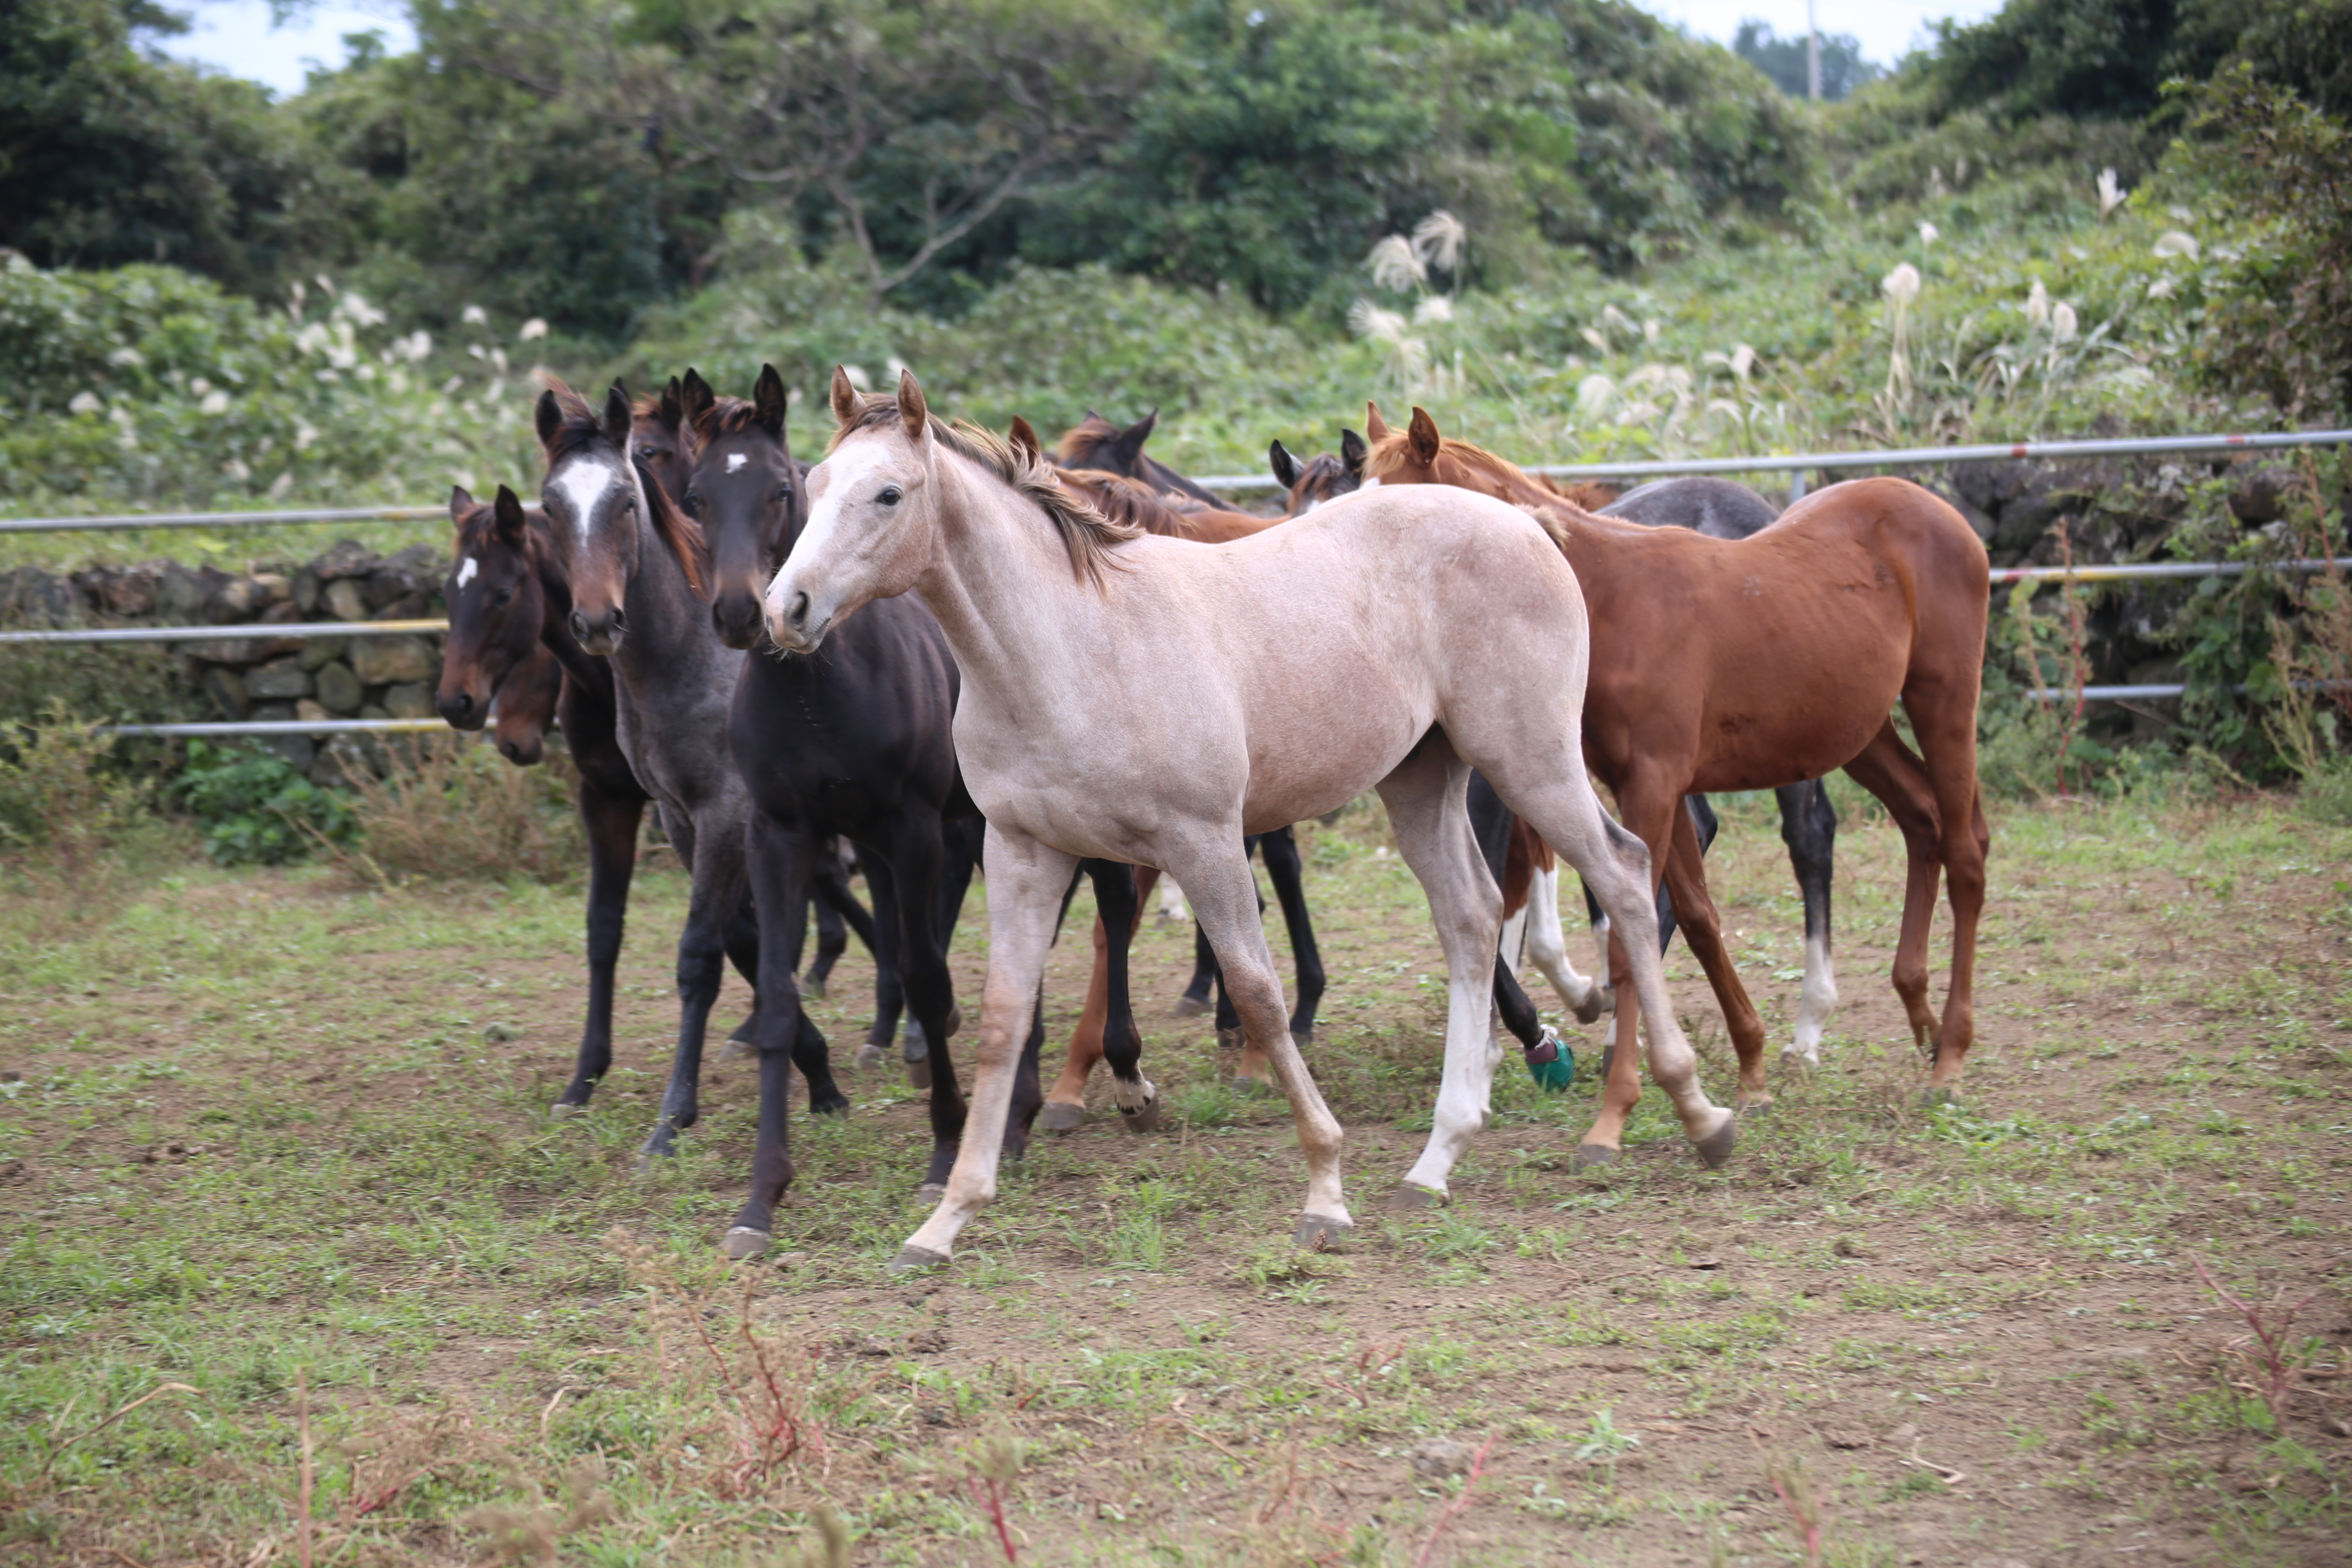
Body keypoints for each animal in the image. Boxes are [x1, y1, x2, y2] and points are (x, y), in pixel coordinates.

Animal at [762, 371, 1740, 1278]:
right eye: (814, 485)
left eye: (889, 494)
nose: (786, 610)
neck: (1071, 646)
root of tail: (1526, 525)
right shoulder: (1024, 852)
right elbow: (1006, 1016)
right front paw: (945, 1220)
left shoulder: (1202, 842)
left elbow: (1259, 996)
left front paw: (1325, 1192)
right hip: (1423, 780)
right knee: (1469, 917)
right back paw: (1436, 1160)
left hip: (1530, 758)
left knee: (1623, 871)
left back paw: (1696, 1112)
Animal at [1373, 404, 1994, 1166]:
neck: (1609, 597)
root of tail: (1936, 508)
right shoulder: (1638, 784)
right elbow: (1696, 919)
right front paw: (1751, 1073)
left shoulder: (1656, 781)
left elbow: (1627, 940)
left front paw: (1614, 1118)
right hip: (1863, 730)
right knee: (1922, 820)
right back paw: (1919, 1014)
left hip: (1944, 702)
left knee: (1964, 847)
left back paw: (1950, 1057)